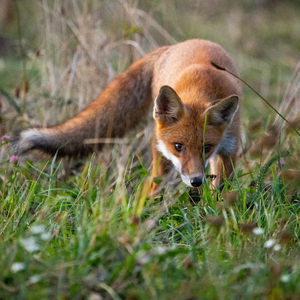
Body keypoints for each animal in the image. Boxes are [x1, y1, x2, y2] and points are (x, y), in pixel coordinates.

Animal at [12, 38, 241, 196]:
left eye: (206, 147)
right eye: (178, 146)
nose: (196, 181)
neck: (201, 85)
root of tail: (173, 46)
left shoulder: (230, 147)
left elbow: (222, 187)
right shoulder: (163, 149)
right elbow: (156, 182)